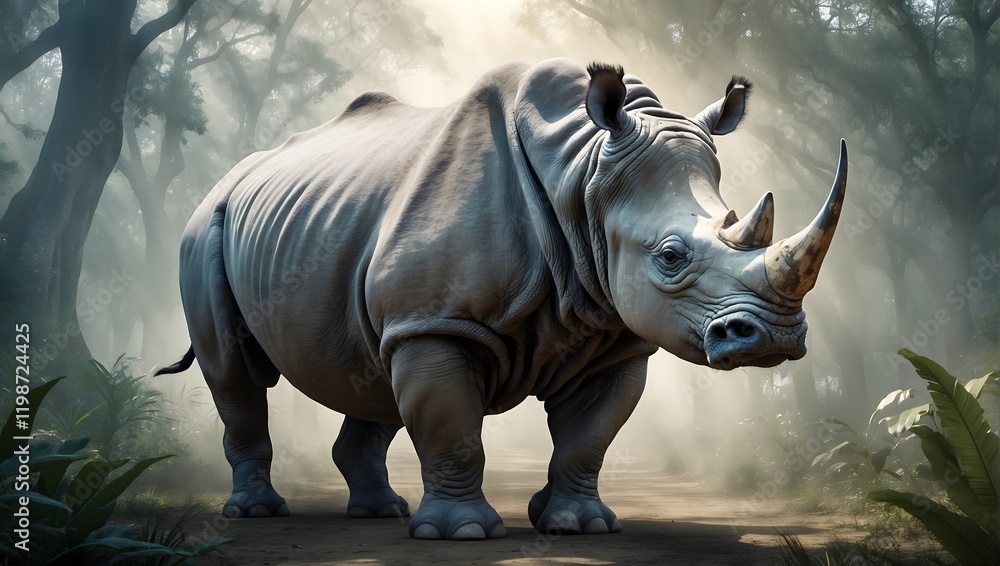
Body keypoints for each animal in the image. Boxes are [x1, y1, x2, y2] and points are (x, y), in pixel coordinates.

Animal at [158, 58, 847, 540]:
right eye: (671, 257)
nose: (776, 335)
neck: (583, 174)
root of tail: (229, 178)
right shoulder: (441, 321)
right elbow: (451, 425)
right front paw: (461, 532)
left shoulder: (614, 337)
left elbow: (590, 435)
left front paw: (580, 525)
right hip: (203, 228)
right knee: (235, 373)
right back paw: (257, 514)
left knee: (372, 362)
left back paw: (380, 514)